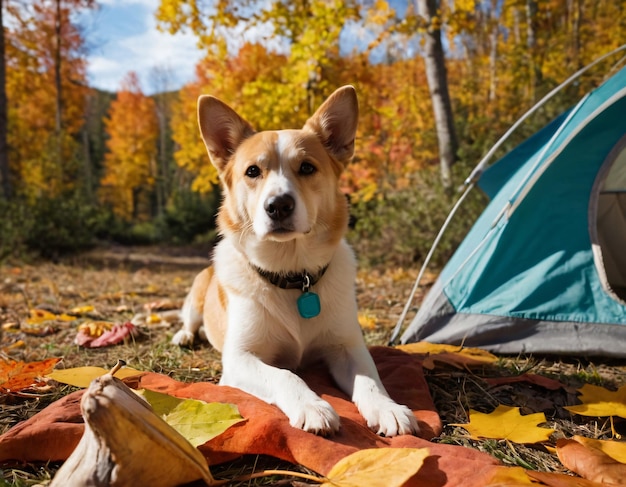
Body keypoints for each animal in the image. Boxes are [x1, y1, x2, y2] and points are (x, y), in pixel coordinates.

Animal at [172, 85, 420, 438]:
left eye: (306, 168)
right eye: (252, 171)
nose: (278, 205)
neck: (291, 274)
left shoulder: (348, 347)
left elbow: (370, 378)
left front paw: (387, 408)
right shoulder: (241, 358)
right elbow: (285, 374)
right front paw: (311, 406)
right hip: (196, 296)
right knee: (189, 320)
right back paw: (184, 335)